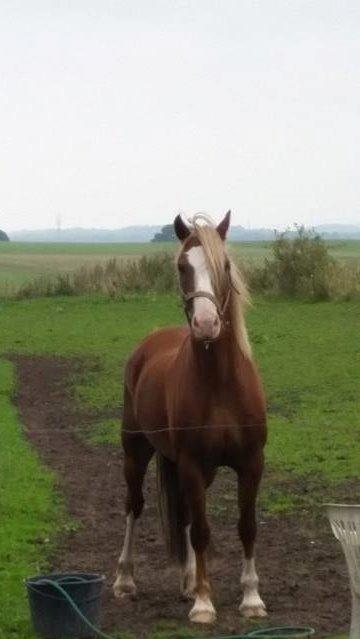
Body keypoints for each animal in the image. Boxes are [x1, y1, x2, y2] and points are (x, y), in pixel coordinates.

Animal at [113, 212, 268, 624]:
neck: (220, 384)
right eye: (183, 266)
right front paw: (203, 603)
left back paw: (186, 581)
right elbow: (201, 531)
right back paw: (125, 580)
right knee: (134, 507)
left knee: (180, 512)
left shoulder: (251, 464)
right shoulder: (193, 464)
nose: (206, 324)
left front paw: (251, 598)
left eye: (224, 265)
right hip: (136, 452)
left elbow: (247, 527)